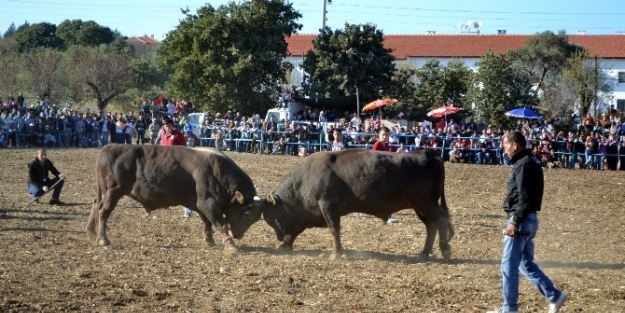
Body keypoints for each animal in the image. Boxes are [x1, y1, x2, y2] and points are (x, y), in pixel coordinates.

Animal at [232, 147, 456, 260]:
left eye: (272, 217)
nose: (279, 236)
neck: (306, 179)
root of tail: (429, 155)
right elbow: (300, 229)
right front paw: (285, 245)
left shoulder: (327, 207)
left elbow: (334, 230)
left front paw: (336, 253)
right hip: (420, 207)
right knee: (431, 225)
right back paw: (425, 252)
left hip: (426, 203)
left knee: (441, 219)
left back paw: (444, 249)